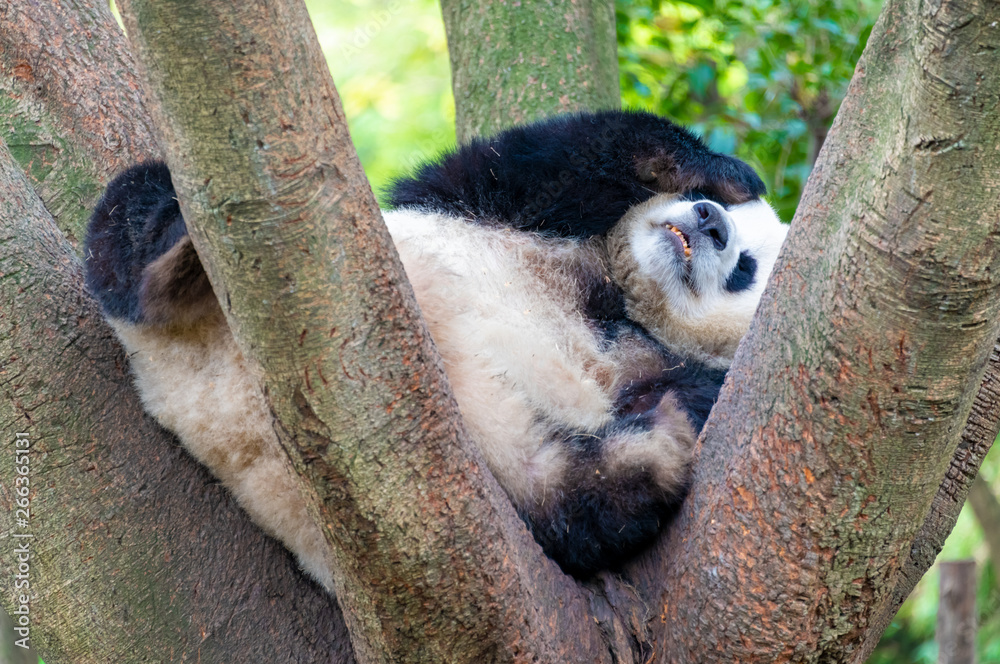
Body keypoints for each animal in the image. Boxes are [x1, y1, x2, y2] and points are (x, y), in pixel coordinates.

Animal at [83, 110, 787, 581]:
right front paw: (725, 171)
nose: (709, 222)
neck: (618, 292)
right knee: (133, 217)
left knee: (576, 508)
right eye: (711, 209)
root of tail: (214, 408)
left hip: (519, 475)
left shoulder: (661, 357)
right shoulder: (497, 206)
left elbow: (689, 392)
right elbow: (550, 156)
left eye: (747, 268)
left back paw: (653, 449)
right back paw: (177, 254)